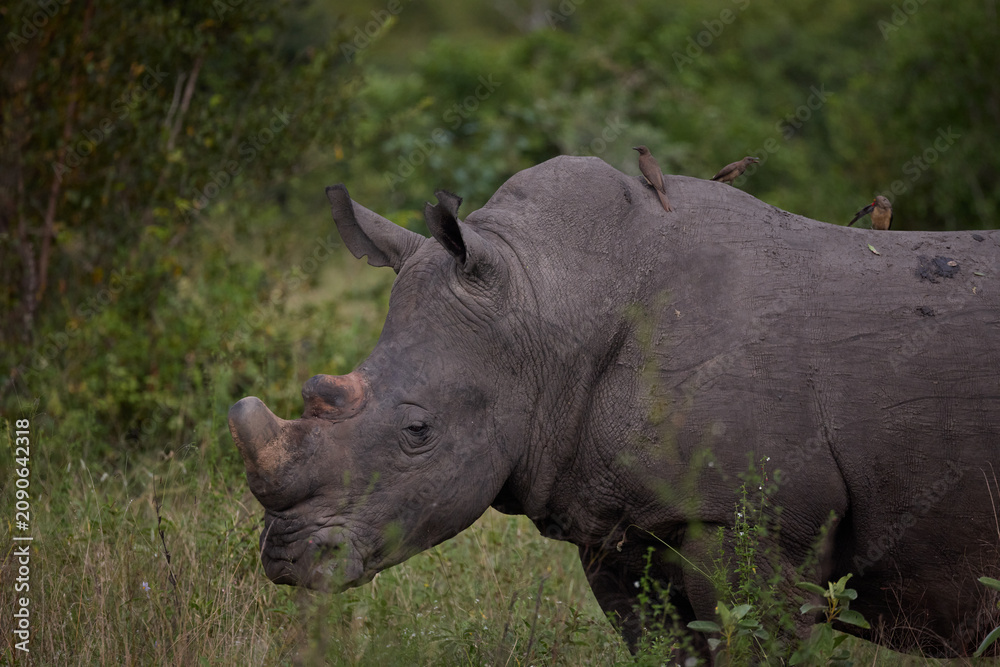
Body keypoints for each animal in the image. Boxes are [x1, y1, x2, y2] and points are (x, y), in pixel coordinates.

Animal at [229, 155, 1000, 659]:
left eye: (418, 431)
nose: (288, 560)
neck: (548, 302)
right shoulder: (617, 520)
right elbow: (662, 646)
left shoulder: (758, 518)